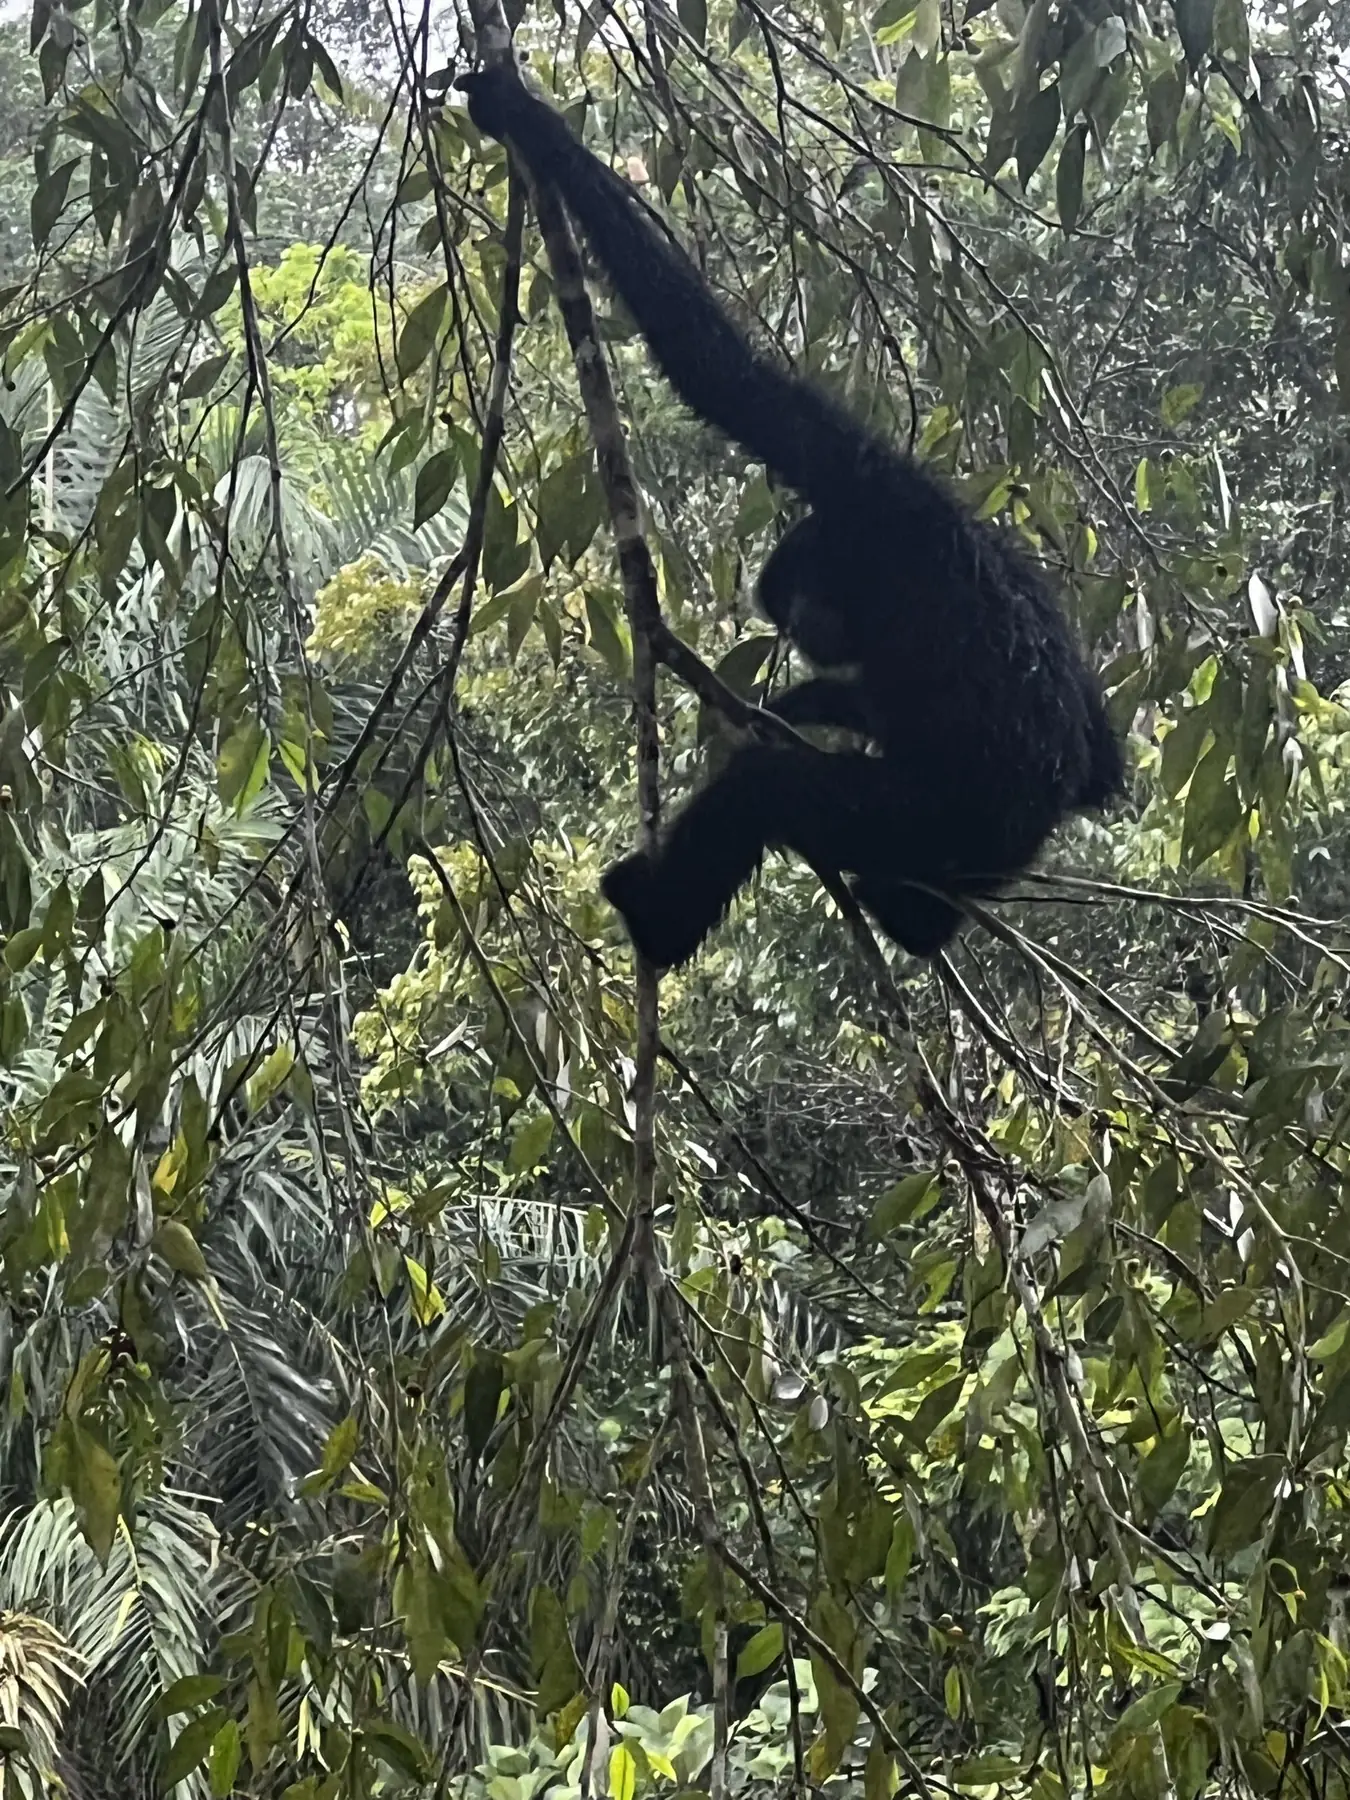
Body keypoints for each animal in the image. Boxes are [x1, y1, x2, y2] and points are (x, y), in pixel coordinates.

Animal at [456, 65, 1124, 968]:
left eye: (802, 607)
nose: (804, 634)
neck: (872, 552)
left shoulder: (865, 484)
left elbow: (729, 380)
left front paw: (527, 120)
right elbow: (1104, 760)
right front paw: (808, 702)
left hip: (913, 820)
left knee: (768, 793)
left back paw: (657, 915)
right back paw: (912, 918)